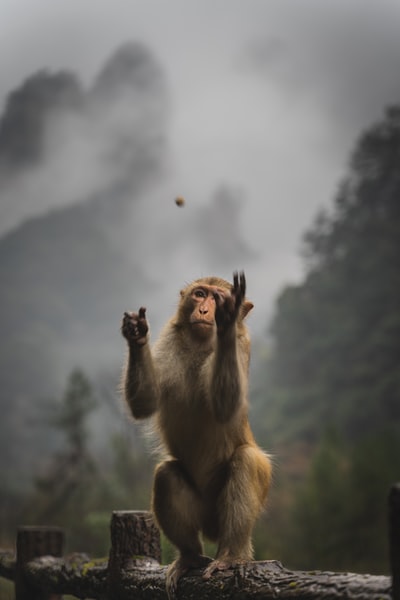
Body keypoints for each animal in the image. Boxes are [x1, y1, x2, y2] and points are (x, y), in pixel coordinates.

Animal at [121, 274, 272, 600]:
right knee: (166, 474)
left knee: (247, 460)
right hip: (203, 513)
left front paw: (226, 321)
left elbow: (225, 407)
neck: (200, 342)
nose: (205, 310)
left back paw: (231, 557)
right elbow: (146, 404)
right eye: (200, 294)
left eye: (217, 298)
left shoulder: (242, 346)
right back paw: (190, 557)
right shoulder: (168, 339)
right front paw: (137, 335)